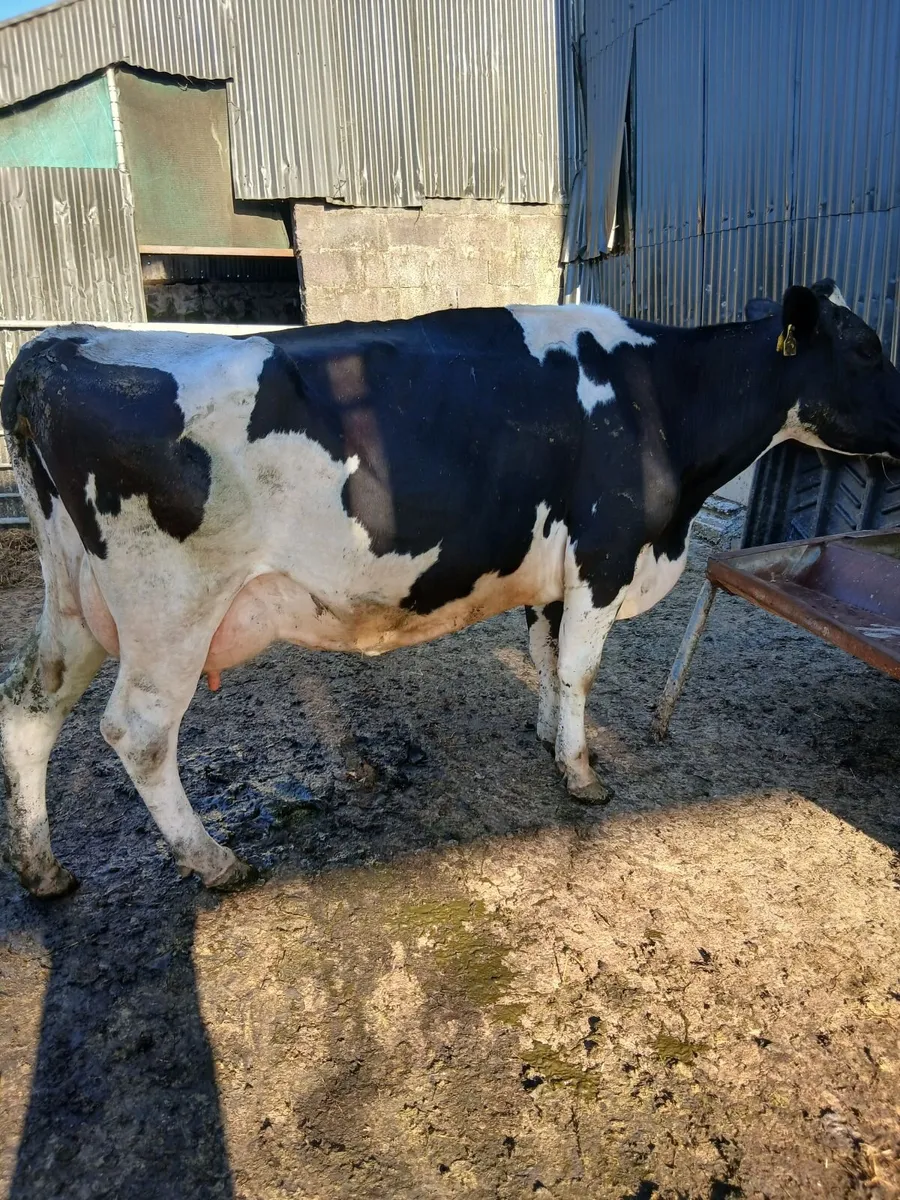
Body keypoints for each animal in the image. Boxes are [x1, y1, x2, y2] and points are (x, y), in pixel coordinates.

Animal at [2, 279, 899, 896]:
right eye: (865, 349)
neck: (660, 399)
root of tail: (57, 346)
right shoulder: (606, 551)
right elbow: (580, 669)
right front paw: (582, 773)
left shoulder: (554, 567)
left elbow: (545, 656)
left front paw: (548, 737)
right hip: (171, 607)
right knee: (139, 733)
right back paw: (213, 860)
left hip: (74, 596)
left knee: (30, 707)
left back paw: (41, 868)